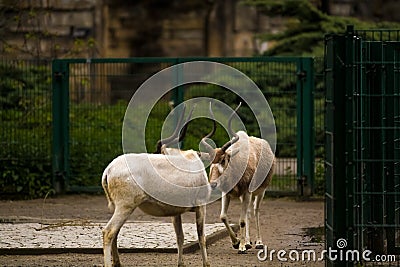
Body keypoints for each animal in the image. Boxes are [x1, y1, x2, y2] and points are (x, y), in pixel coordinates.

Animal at [200, 103, 276, 254]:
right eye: (211, 162)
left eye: (223, 160)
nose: (213, 184)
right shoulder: (226, 193)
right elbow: (223, 216)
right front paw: (236, 243)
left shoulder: (247, 192)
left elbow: (241, 221)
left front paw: (240, 247)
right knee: (247, 212)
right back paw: (247, 242)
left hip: (260, 191)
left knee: (255, 210)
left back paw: (258, 242)